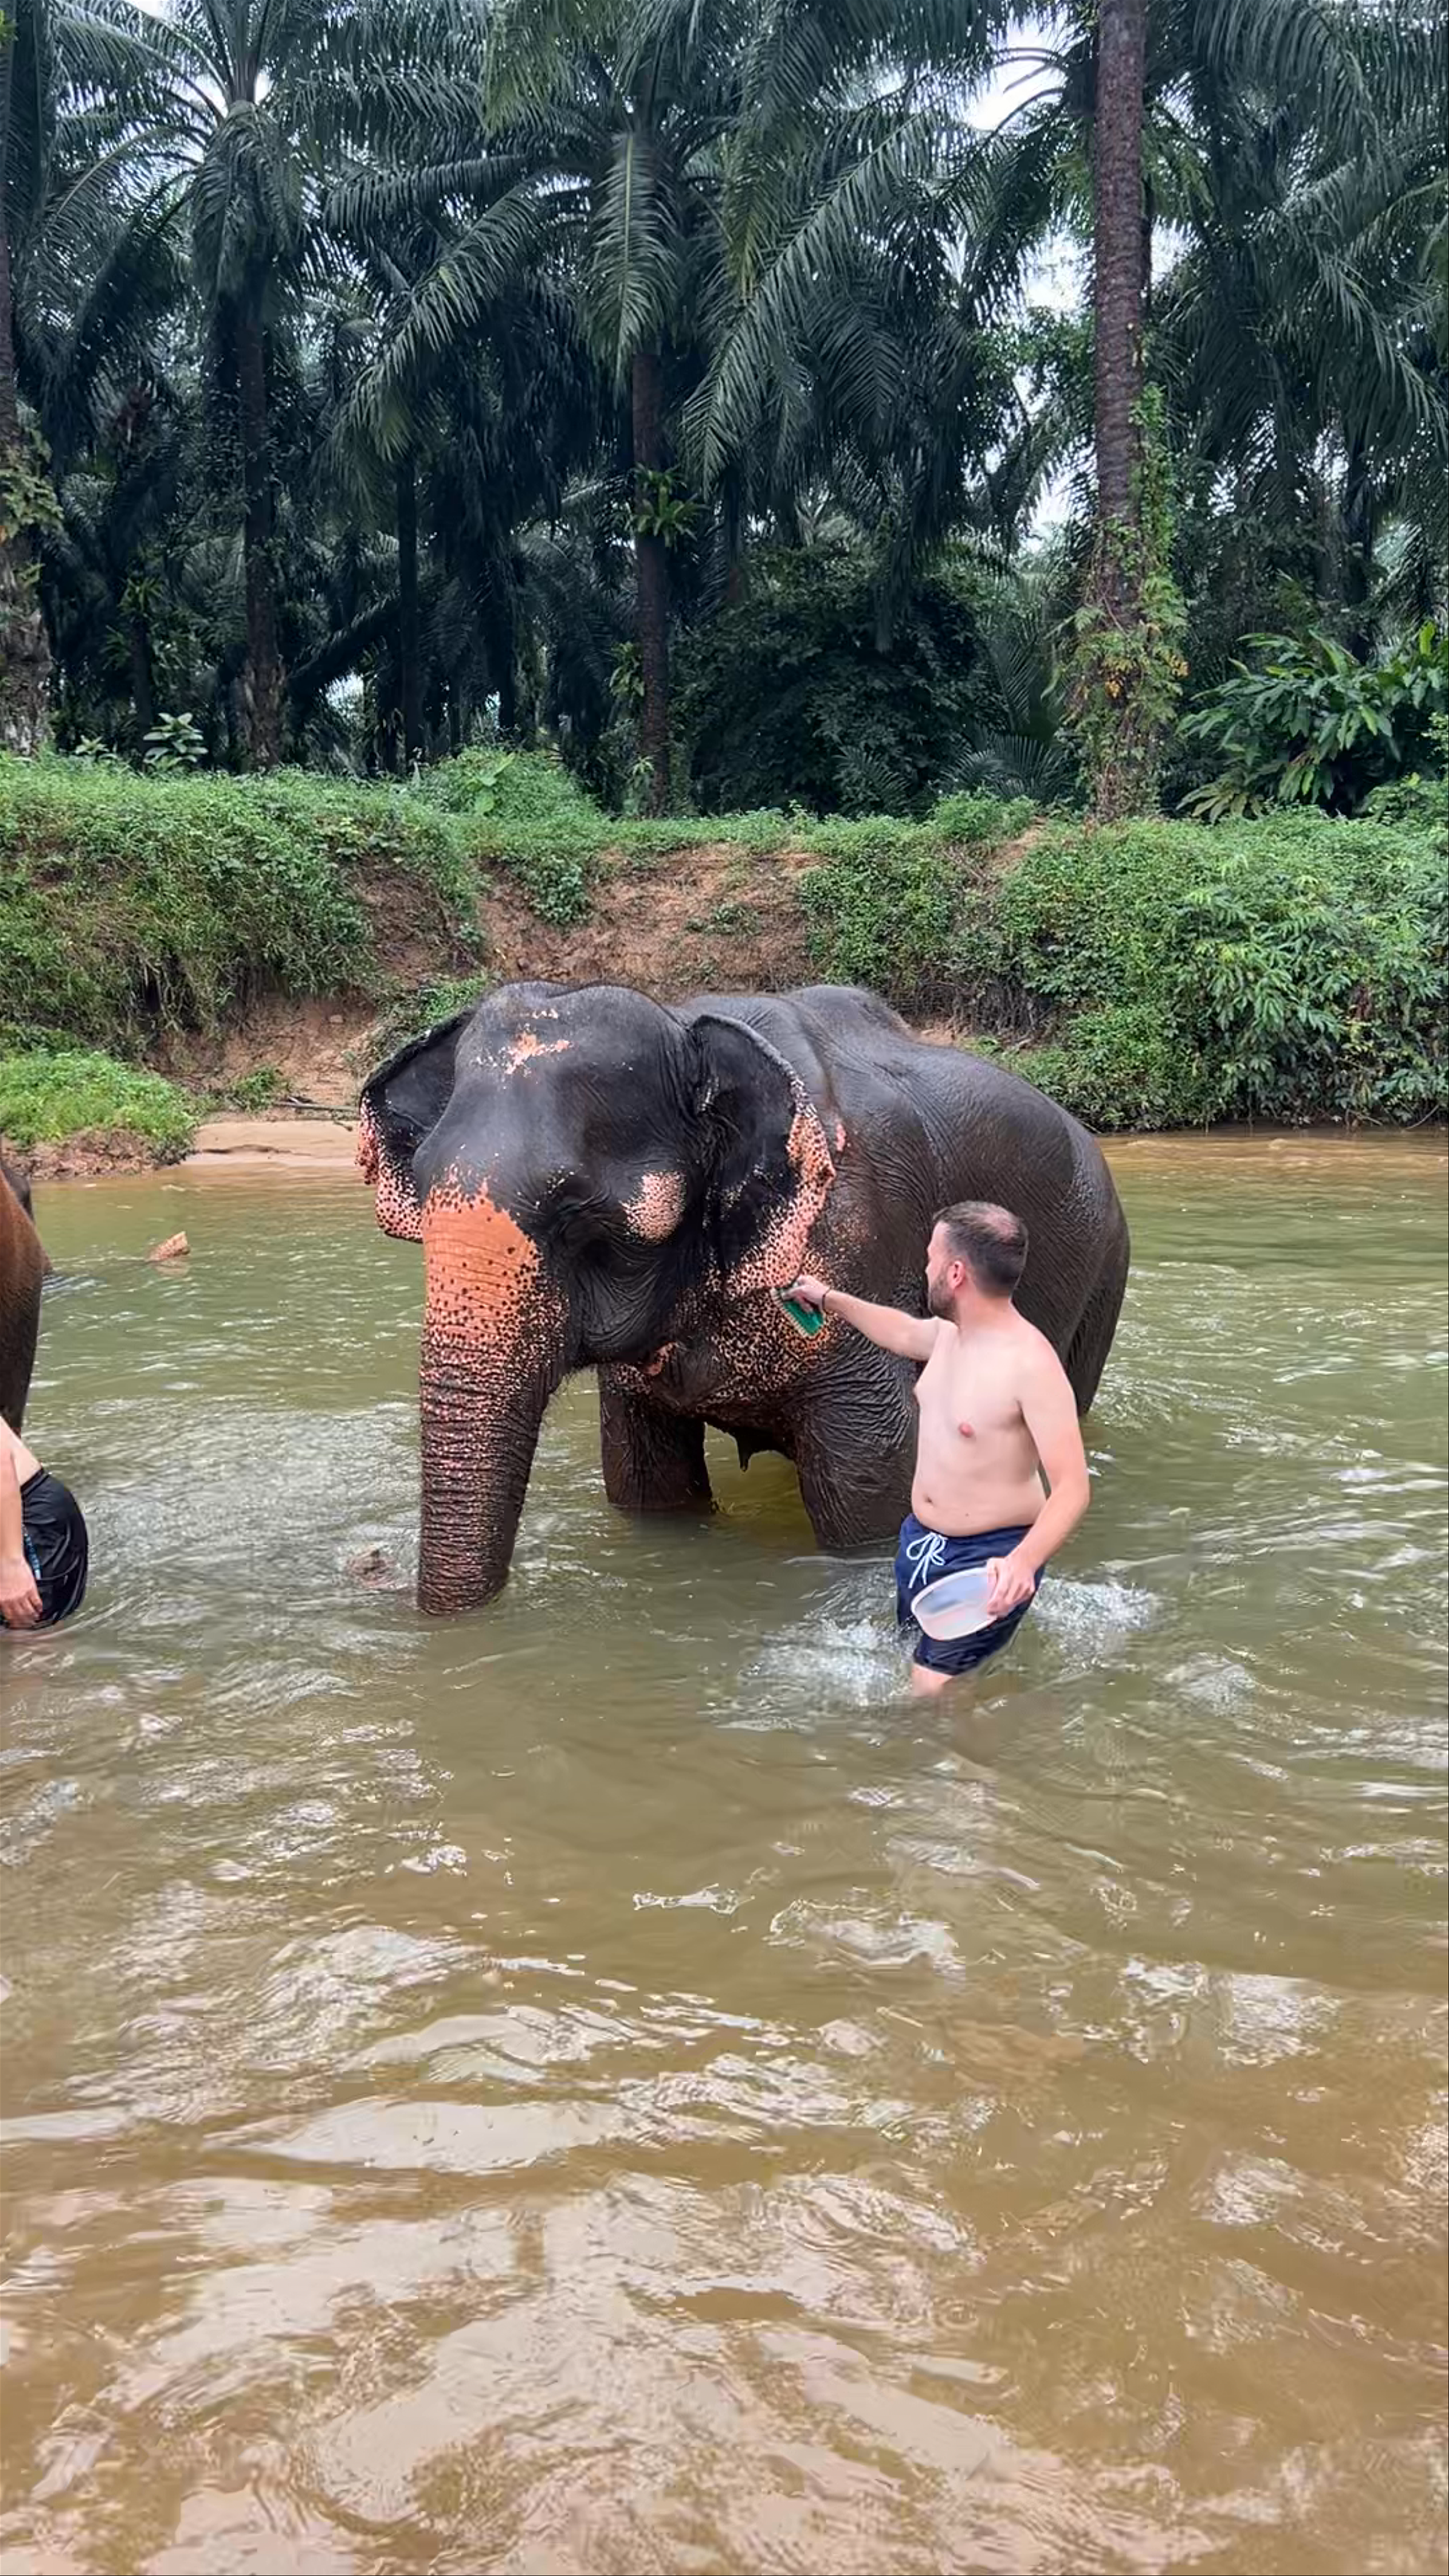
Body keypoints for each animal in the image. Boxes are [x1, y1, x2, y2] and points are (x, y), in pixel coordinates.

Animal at [358, 979, 1130, 1614]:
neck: (688, 1028)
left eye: (578, 1215)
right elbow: (647, 1481)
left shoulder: (857, 1245)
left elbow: (873, 1481)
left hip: (1105, 1263)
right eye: (423, 1189)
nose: (376, 1569)